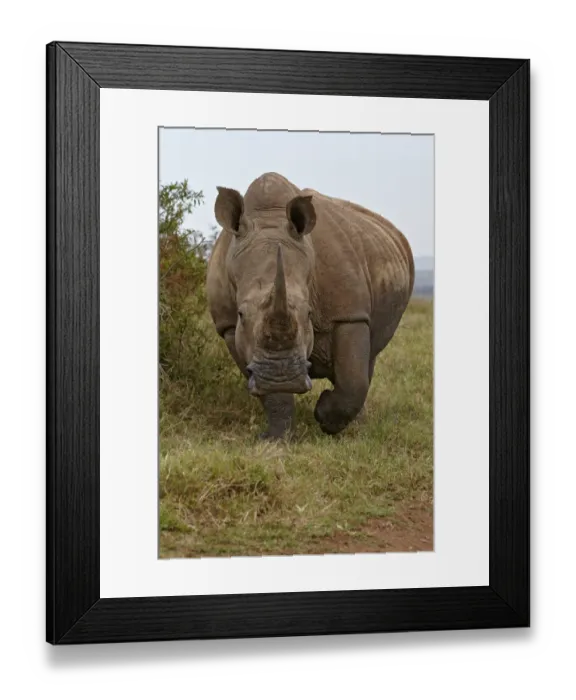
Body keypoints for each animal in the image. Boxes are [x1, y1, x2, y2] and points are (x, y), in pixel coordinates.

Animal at [206, 172, 414, 439]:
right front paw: (276, 438)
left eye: (308, 313)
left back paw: (356, 428)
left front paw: (325, 417)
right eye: (241, 314)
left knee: (368, 357)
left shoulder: (350, 314)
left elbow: (353, 380)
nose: (282, 375)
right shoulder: (229, 326)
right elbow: (269, 393)